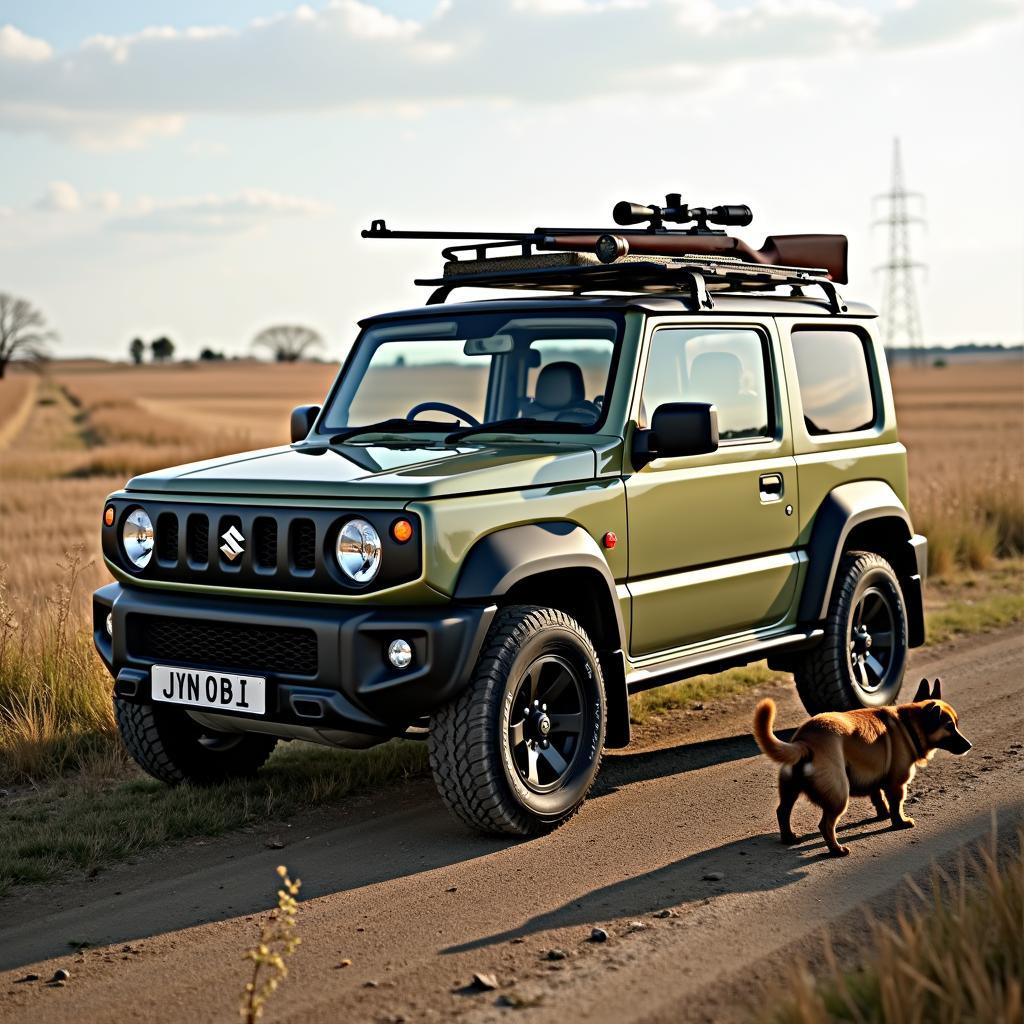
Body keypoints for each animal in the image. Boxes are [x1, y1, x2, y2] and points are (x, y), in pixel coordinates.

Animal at [757, 679, 970, 856]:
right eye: (949, 727)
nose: (969, 745)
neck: (908, 724)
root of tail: (804, 743)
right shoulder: (897, 785)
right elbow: (897, 806)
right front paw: (899, 822)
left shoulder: (875, 777)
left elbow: (878, 798)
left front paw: (883, 814)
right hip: (838, 797)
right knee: (825, 825)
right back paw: (836, 850)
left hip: (790, 790)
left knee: (783, 811)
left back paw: (788, 838)